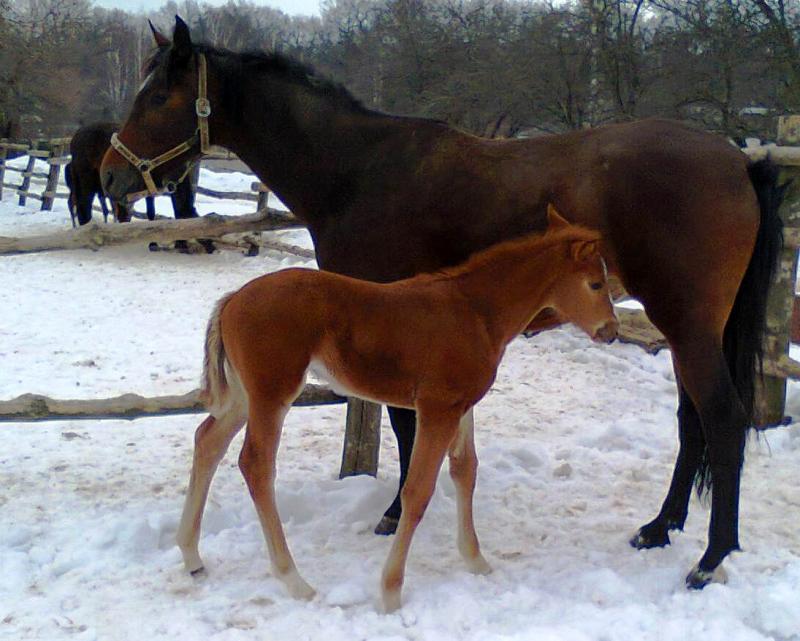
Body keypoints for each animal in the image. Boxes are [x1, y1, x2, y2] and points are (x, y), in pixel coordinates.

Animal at [178, 208, 617, 611]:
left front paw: (476, 560)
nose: (611, 331)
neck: (475, 312)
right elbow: (418, 490)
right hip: (272, 394)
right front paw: (390, 592)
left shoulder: (461, 406)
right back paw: (294, 580)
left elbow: (466, 471)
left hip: (243, 396)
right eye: (596, 283)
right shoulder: (436, 408)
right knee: (255, 464)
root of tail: (232, 300)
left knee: (207, 441)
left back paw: (191, 555)